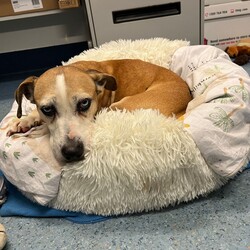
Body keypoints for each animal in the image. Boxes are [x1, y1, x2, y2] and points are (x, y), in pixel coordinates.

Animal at [7, 59, 191, 163]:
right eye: (47, 109)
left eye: (84, 103)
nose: (72, 152)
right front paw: (24, 120)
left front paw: (37, 130)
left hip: (121, 106)